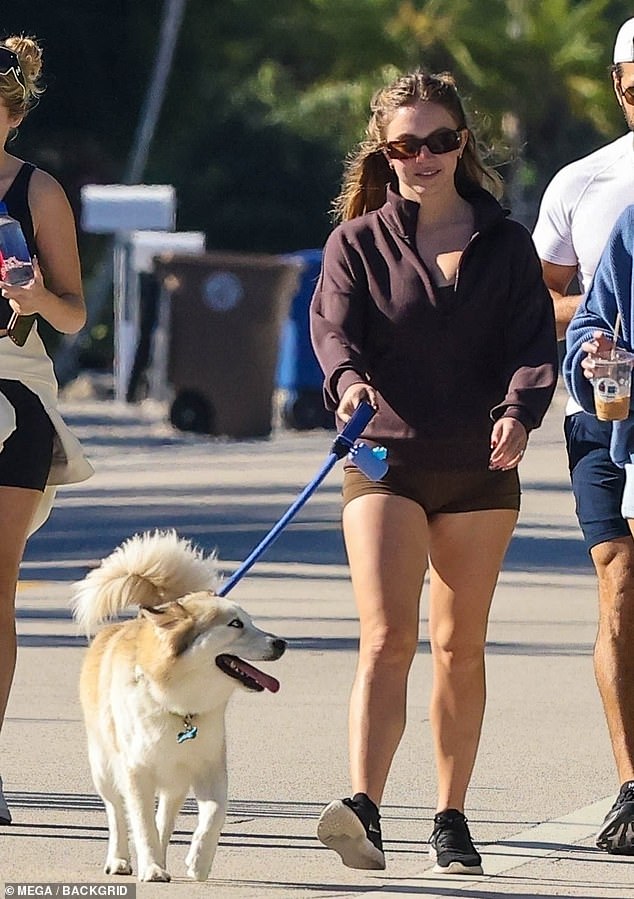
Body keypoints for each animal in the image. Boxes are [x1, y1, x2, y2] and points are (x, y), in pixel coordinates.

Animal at [71, 532, 284, 884]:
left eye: (250, 621)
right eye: (236, 624)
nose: (281, 643)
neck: (181, 705)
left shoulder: (209, 767)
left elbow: (214, 814)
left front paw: (198, 862)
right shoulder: (136, 772)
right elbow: (140, 824)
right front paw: (152, 867)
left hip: (175, 780)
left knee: (165, 816)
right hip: (103, 766)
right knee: (116, 812)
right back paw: (120, 859)